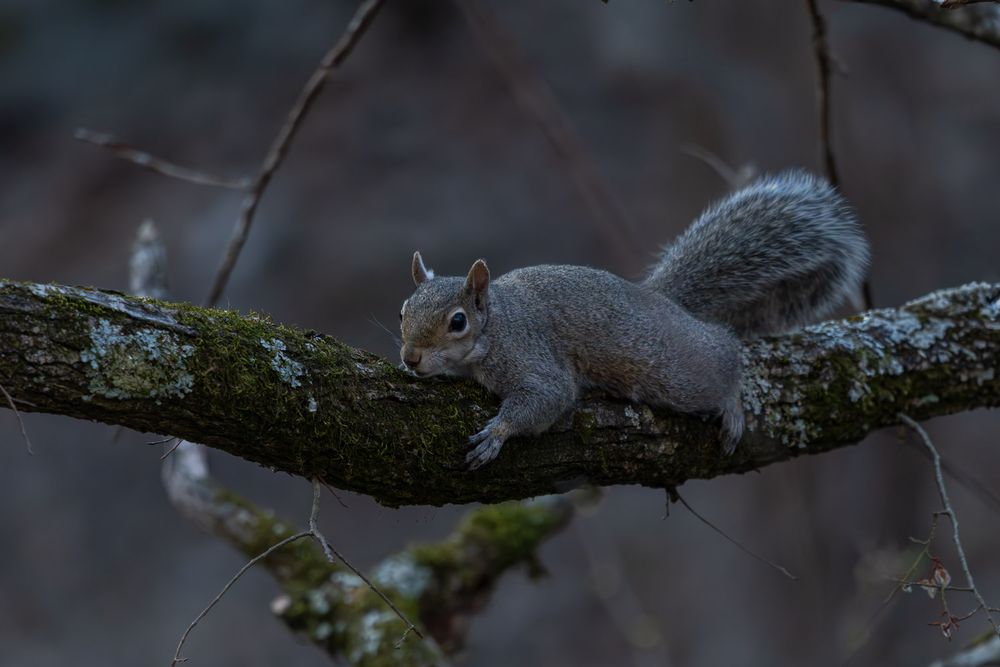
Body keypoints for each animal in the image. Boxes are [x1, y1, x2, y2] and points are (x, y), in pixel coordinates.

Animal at [399, 169, 870, 469]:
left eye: (458, 322)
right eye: (403, 310)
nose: (410, 358)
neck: (496, 326)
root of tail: (662, 301)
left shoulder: (529, 356)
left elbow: (547, 397)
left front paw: (497, 433)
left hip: (676, 369)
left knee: (725, 355)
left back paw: (732, 403)